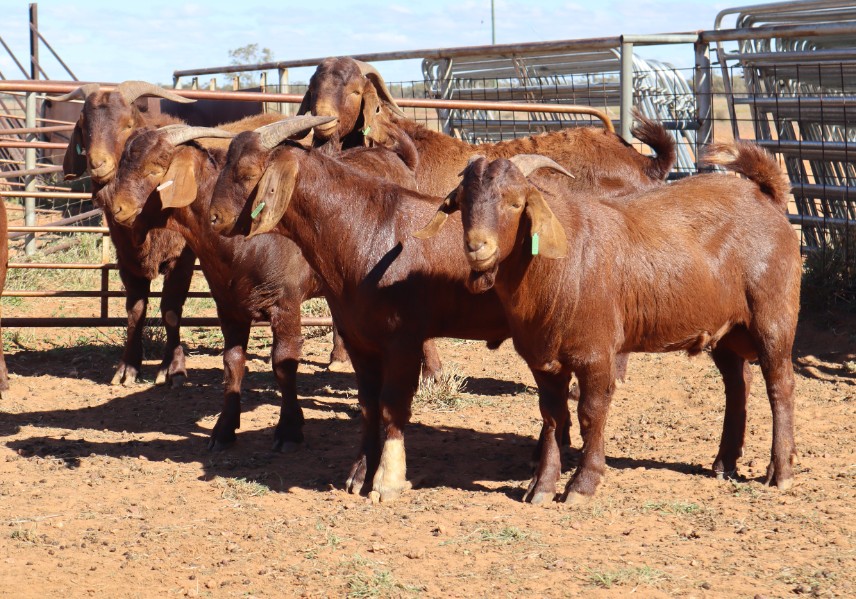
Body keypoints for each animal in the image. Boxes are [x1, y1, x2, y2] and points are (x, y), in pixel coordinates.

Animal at [420, 143, 804, 504]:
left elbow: (591, 413)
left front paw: (582, 485)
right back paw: (725, 463)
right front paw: (541, 486)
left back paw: (779, 472)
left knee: (780, 385)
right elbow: (552, 416)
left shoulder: (597, 354)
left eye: (516, 203)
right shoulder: (542, 360)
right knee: (738, 383)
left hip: (773, 315)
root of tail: (765, 197)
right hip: (725, 331)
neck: (560, 264)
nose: (477, 247)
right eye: (463, 203)